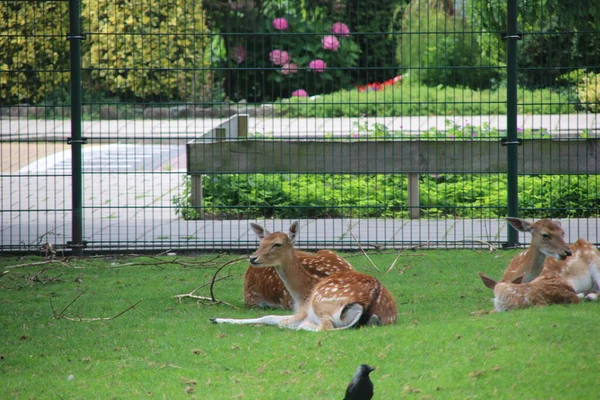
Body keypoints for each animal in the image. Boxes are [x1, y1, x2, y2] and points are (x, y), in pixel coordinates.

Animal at [211, 222, 398, 332]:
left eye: (277, 244)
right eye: (261, 242)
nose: (253, 258)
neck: (302, 294)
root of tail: (370, 302)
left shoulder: (301, 311)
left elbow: (273, 319)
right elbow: (268, 317)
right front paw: (215, 319)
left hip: (322, 302)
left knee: (324, 327)